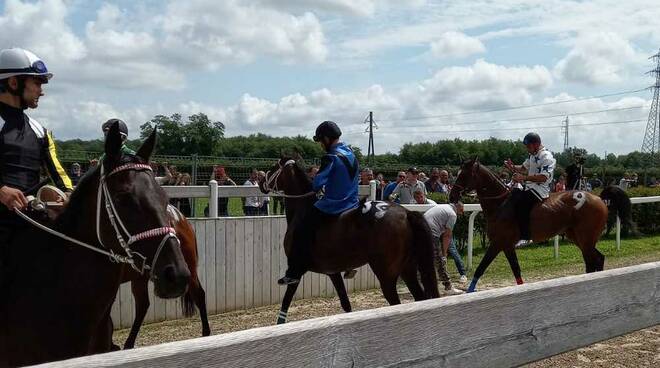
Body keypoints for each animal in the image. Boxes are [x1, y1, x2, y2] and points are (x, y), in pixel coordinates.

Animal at [260, 157, 440, 324]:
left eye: (274, 167)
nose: (262, 182)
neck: (303, 210)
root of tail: (406, 213)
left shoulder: (297, 270)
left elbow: (285, 302)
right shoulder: (332, 272)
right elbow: (345, 304)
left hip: (387, 275)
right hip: (407, 270)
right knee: (419, 298)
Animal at [448, 158, 608, 294]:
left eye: (464, 175)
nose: (452, 196)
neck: (500, 204)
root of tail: (599, 199)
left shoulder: (498, 242)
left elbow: (481, 268)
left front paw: (469, 291)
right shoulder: (507, 246)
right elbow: (516, 270)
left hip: (585, 238)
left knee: (592, 260)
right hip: (577, 237)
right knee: (597, 259)